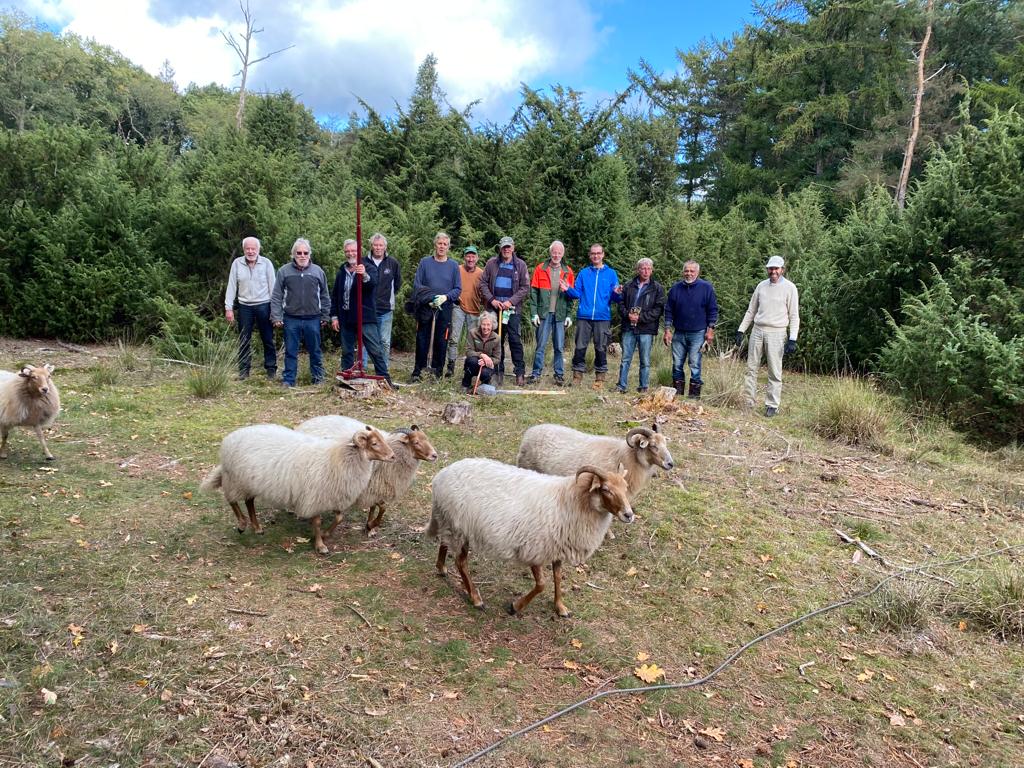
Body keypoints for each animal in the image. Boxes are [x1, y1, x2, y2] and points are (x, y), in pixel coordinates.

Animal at [200, 423, 395, 557]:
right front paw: (320, 545)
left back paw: (257, 528)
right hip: (235, 479)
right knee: (232, 500)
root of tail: (231, 437)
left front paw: (326, 534)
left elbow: (339, 518)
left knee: (249, 501)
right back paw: (242, 524)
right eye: (374, 443)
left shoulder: (332, 495)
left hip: (250, 482)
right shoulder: (314, 497)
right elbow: (317, 522)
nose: (393, 456)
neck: (340, 457)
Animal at [299, 415, 438, 536]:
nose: (435, 455)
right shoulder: (367, 487)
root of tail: (309, 421)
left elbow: (376, 507)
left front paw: (369, 527)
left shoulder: (376, 487)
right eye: (416, 442)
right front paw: (372, 524)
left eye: (426, 438)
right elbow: (382, 507)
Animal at [423, 456, 630, 618]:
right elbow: (541, 585)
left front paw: (560, 607)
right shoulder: (535, 548)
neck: (571, 501)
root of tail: (442, 475)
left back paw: (441, 568)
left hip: (450, 522)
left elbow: (558, 578)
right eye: (605, 489)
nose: (629, 515)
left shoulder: (557, 547)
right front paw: (515, 607)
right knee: (461, 562)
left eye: (626, 488)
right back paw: (476, 599)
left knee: (444, 541)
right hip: (460, 527)